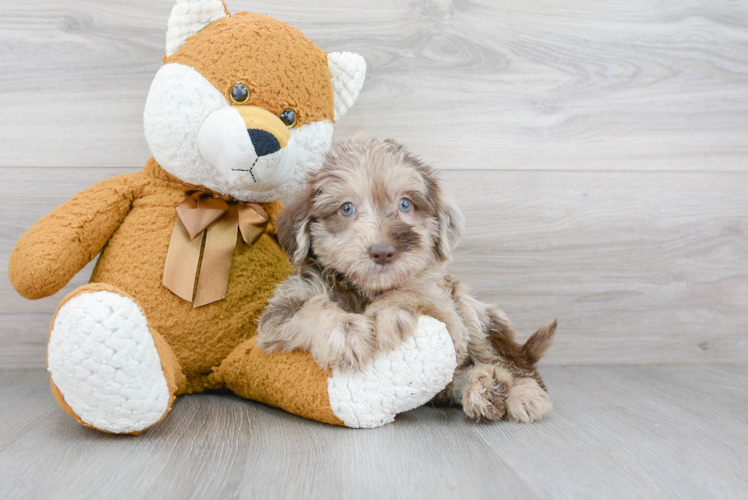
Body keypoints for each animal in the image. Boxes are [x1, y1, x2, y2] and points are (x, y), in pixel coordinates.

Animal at [258, 135, 556, 420]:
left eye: (405, 204)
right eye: (346, 209)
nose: (382, 252)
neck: (366, 291)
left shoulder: (446, 310)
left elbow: (414, 292)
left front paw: (388, 312)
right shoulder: (282, 309)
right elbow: (312, 307)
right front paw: (346, 331)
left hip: (474, 314)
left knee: (515, 364)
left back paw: (520, 393)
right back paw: (484, 387)